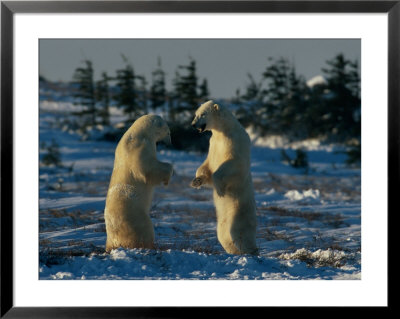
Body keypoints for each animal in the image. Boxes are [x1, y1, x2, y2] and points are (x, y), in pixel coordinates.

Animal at [104, 115, 173, 252]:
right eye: (168, 131)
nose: (170, 142)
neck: (138, 133)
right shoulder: (139, 146)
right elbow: (147, 169)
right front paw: (168, 175)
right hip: (134, 217)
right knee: (145, 230)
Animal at [191, 101, 260, 256]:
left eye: (203, 114)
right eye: (196, 114)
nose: (193, 124)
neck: (224, 129)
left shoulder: (234, 141)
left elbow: (233, 164)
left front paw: (220, 190)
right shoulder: (213, 144)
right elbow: (207, 165)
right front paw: (196, 181)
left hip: (239, 213)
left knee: (239, 234)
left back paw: (251, 252)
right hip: (223, 222)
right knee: (224, 236)